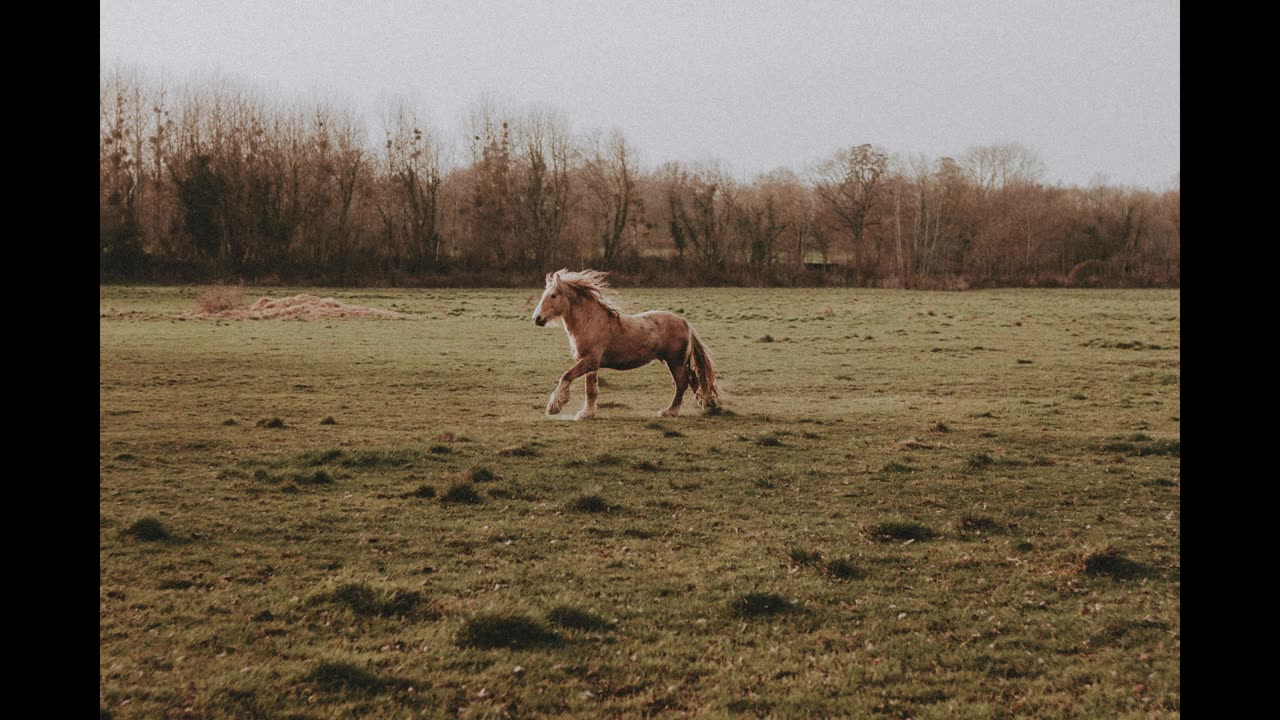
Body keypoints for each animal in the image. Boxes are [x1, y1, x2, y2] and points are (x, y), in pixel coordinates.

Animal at [529, 266, 721, 417]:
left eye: (553, 295)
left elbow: (566, 376)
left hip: (675, 362)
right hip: (678, 362)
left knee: (682, 384)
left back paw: (670, 411)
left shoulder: (589, 361)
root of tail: (683, 322)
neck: (591, 322)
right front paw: (586, 413)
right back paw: (708, 405)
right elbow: (590, 390)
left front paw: (553, 407)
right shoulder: (590, 364)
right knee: (694, 380)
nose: (537, 319)